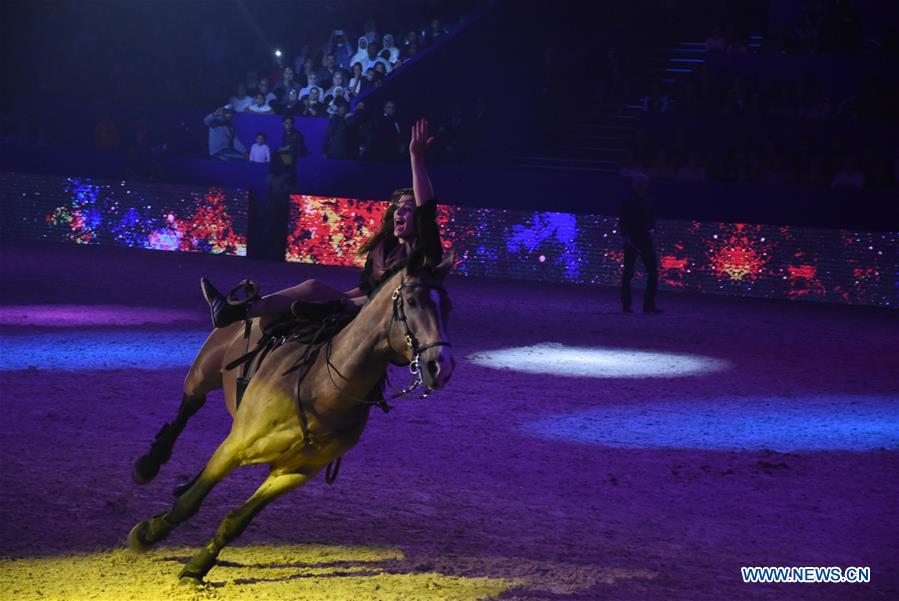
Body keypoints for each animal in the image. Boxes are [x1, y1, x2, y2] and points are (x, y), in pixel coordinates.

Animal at [127, 256, 455, 583]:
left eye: (448, 306)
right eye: (411, 301)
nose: (441, 367)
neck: (320, 387)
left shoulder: (295, 472)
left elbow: (236, 521)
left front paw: (198, 567)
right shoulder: (236, 446)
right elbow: (189, 504)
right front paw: (148, 534)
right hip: (202, 374)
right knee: (187, 409)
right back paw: (149, 464)